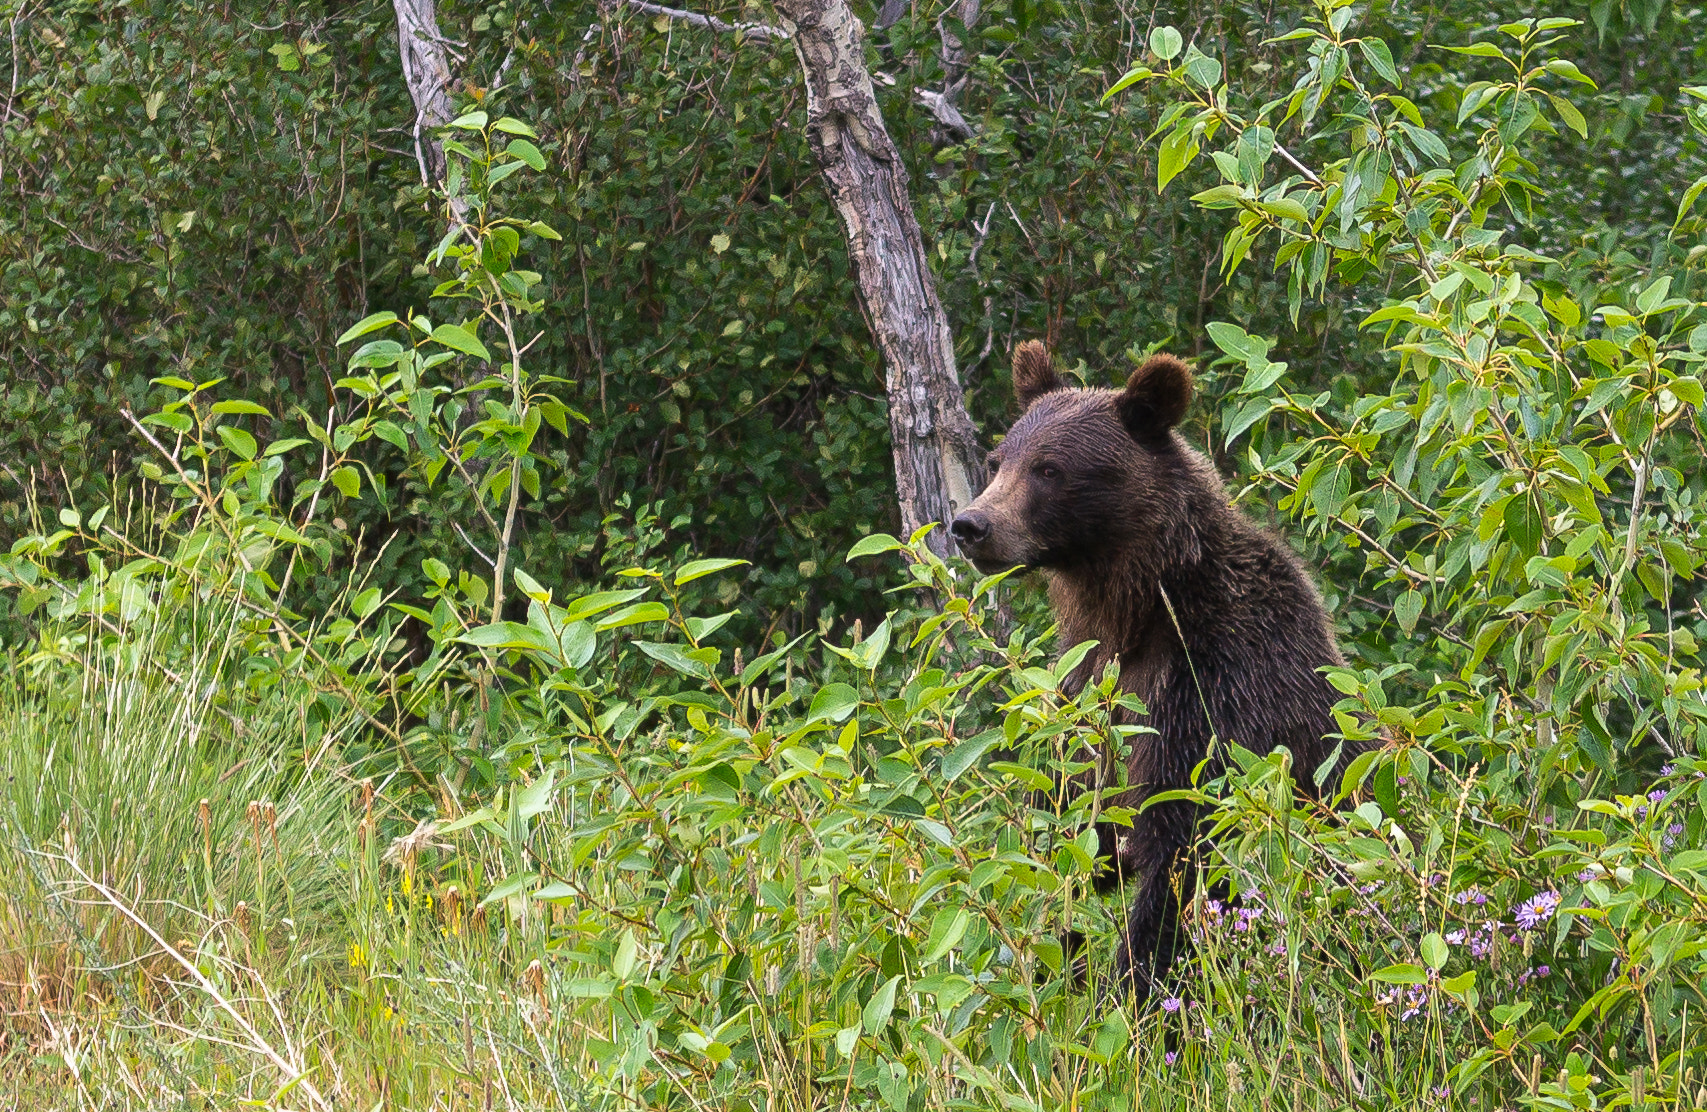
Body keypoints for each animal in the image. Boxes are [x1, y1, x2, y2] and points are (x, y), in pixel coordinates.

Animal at [949, 336, 1358, 997]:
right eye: (997, 459)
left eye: (1049, 469)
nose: (971, 526)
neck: (1139, 607)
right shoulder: (1086, 691)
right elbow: (1072, 823)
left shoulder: (1217, 684)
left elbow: (1186, 846)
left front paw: (1133, 985)